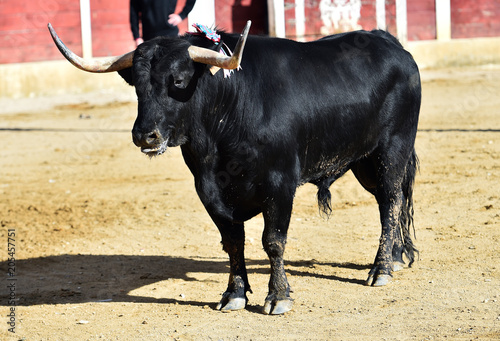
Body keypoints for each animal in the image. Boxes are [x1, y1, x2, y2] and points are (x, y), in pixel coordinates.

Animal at [49, 23, 418, 314]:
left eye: (178, 80)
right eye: (136, 85)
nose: (144, 135)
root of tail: (390, 42)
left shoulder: (280, 184)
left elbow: (273, 241)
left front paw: (278, 296)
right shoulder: (208, 189)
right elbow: (233, 242)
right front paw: (234, 294)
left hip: (392, 150)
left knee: (390, 201)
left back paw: (382, 269)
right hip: (364, 162)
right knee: (391, 200)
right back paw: (397, 256)